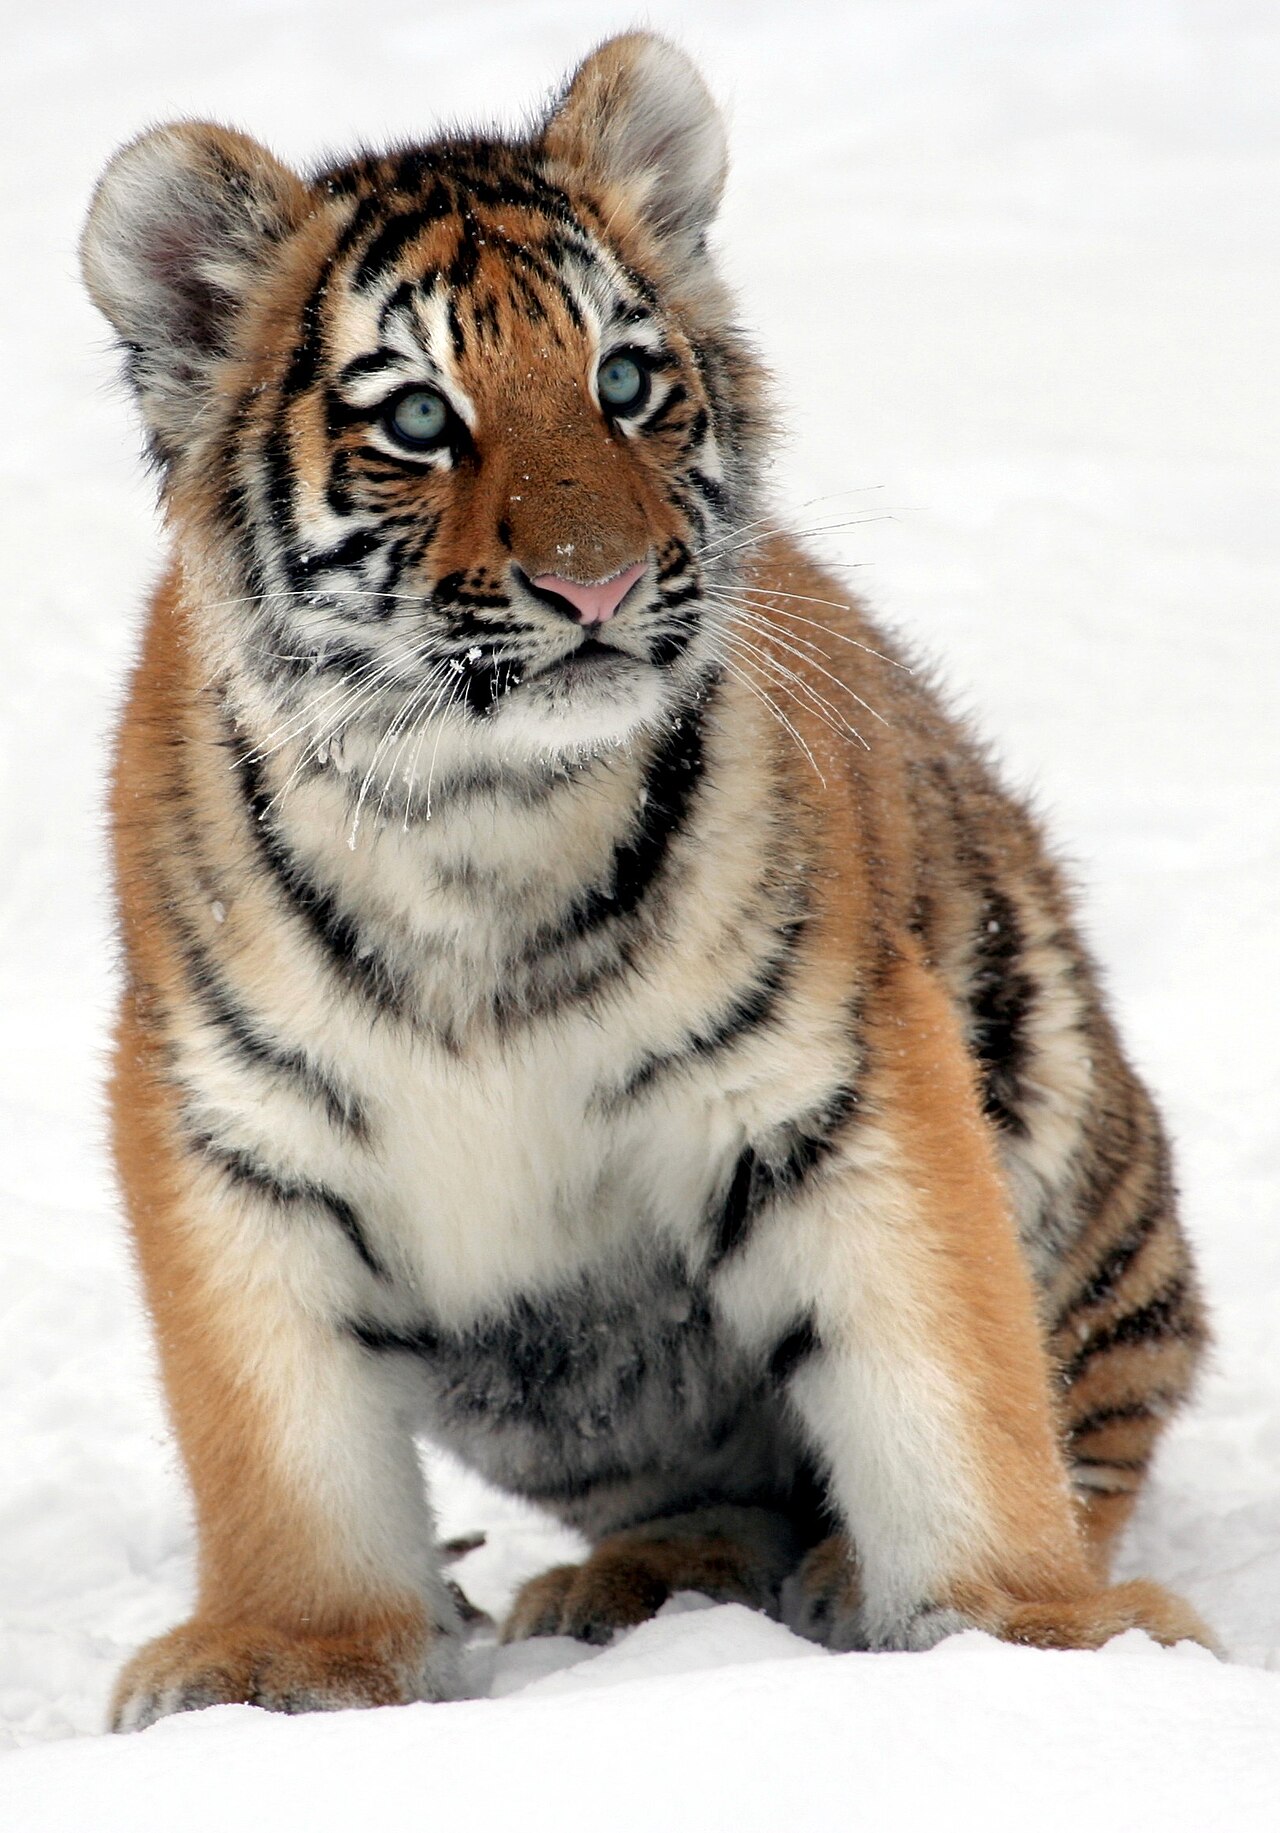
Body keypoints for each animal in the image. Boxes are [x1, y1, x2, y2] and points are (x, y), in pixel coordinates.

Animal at [79, 32, 1211, 1730]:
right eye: (419, 418)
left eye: (623, 382)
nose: (598, 582)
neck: (480, 817)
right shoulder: (231, 1126)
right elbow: (276, 1438)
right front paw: (288, 1660)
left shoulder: (839, 1085)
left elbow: (948, 1379)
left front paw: (1037, 1640)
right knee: (699, 1488)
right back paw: (641, 1585)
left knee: (1086, 1413)